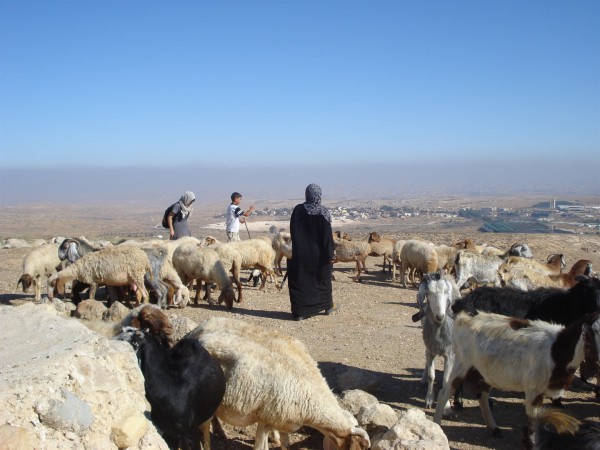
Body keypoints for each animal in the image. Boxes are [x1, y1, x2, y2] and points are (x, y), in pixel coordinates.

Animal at [190, 316, 370, 450]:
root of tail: (196, 332)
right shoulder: (265, 420)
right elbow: (261, 447)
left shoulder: (284, 423)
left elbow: (285, 443)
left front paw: (276, 440)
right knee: (204, 426)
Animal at [414, 270, 462, 412]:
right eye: (428, 293)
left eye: (446, 292)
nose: (440, 316)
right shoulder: (430, 351)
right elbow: (432, 376)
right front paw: (429, 399)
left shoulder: (449, 355)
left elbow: (446, 380)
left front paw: (446, 407)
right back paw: (423, 379)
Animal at [434, 310, 600, 436]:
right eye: (591, 334)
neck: (558, 348)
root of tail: (465, 320)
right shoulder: (533, 391)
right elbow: (534, 423)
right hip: (462, 364)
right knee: (444, 393)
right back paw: (437, 425)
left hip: (484, 372)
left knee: (482, 397)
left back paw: (493, 428)